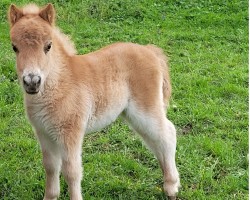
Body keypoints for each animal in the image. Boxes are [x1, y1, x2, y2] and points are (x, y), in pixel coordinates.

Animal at [7, 3, 180, 200]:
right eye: (14, 47)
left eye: (48, 46)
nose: (32, 82)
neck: (60, 84)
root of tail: (150, 51)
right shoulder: (44, 133)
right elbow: (50, 167)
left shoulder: (70, 133)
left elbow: (72, 171)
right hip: (133, 115)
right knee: (155, 140)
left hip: (145, 109)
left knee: (167, 134)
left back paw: (171, 187)